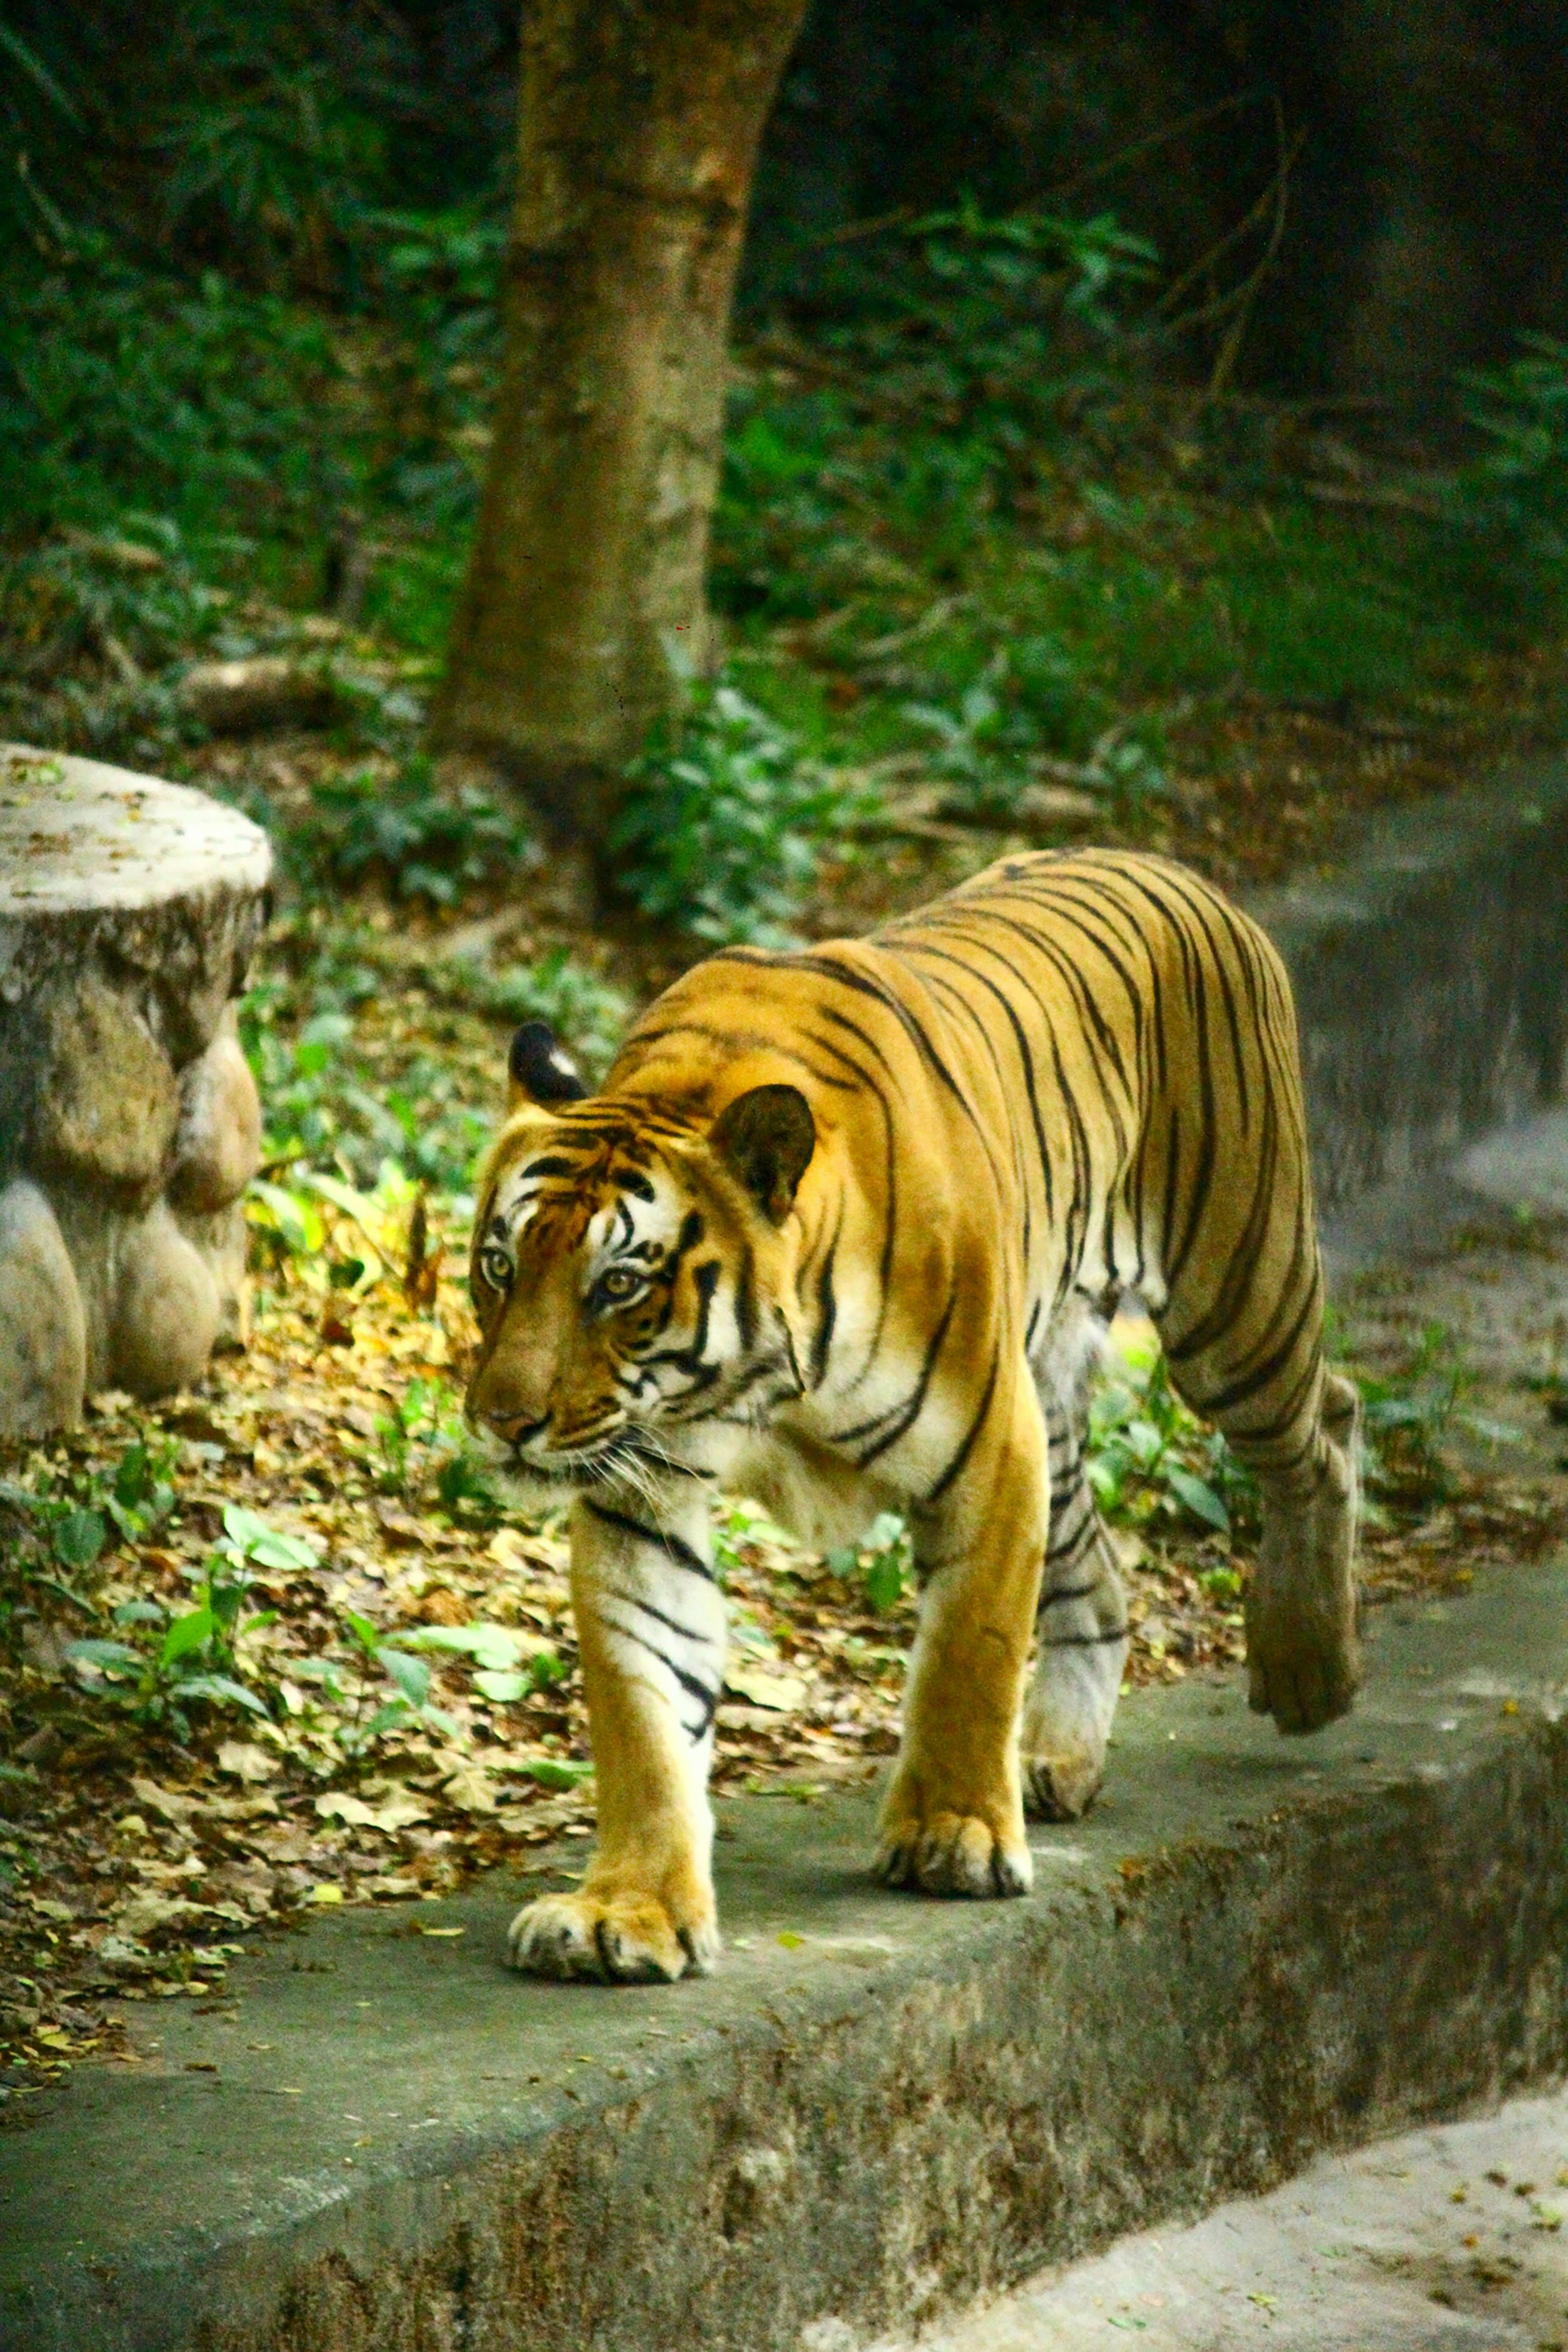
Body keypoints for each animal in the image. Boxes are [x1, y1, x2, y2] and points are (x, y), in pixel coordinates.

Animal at [463, 856, 1363, 1976]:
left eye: (618, 1285)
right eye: (500, 1267)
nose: (502, 1419)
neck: (751, 1380)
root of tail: (1174, 870)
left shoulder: (989, 1448)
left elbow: (967, 1656)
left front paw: (952, 1835)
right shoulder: (642, 1495)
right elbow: (644, 1712)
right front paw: (623, 1910)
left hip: (1235, 1305)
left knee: (1326, 1424)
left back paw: (1309, 1664)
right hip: (1062, 1390)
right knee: (1099, 1572)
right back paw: (1057, 1758)